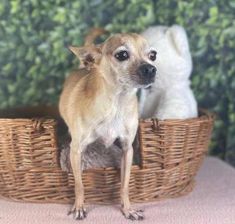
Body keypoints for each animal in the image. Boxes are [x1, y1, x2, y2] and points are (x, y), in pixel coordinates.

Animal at [59, 31, 156, 220]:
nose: (151, 68)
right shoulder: (76, 150)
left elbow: (124, 185)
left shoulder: (127, 150)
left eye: (153, 55)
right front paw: (79, 206)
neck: (116, 103)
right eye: (122, 55)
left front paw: (128, 209)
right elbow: (79, 184)